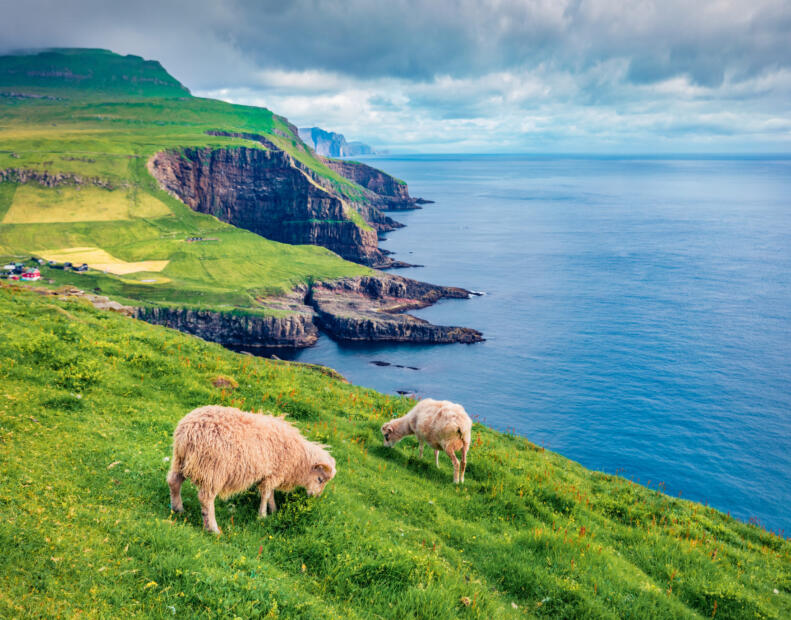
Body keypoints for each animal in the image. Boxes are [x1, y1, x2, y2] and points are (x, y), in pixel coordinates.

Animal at [169, 406, 336, 532]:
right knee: (206, 499)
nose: (315, 497)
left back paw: (178, 508)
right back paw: (213, 529)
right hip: (214, 470)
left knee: (173, 481)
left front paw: (273, 509)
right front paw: (262, 515)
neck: (299, 460)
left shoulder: (270, 474)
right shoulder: (275, 473)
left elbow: (271, 494)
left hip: (180, 460)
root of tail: (188, 431)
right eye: (320, 479)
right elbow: (266, 494)